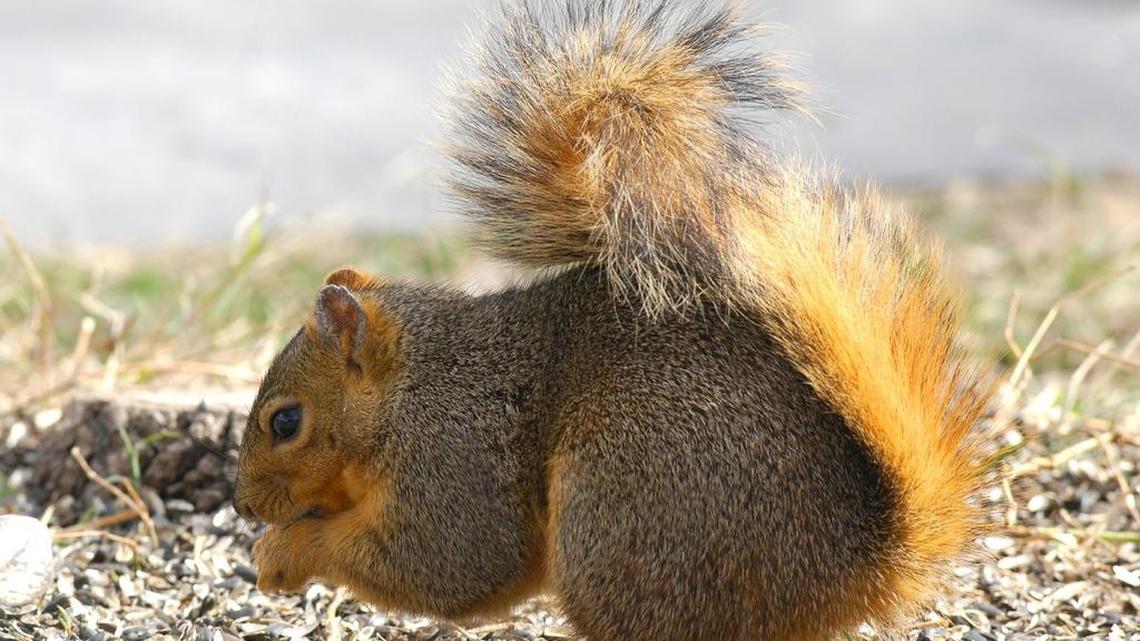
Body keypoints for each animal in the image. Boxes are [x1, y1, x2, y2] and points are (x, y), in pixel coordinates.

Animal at [233, 1, 995, 639]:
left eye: (285, 422)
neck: (408, 389)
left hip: (623, 508)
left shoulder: (452, 454)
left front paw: (285, 550)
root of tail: (856, 565)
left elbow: (452, 561)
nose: (242, 505)